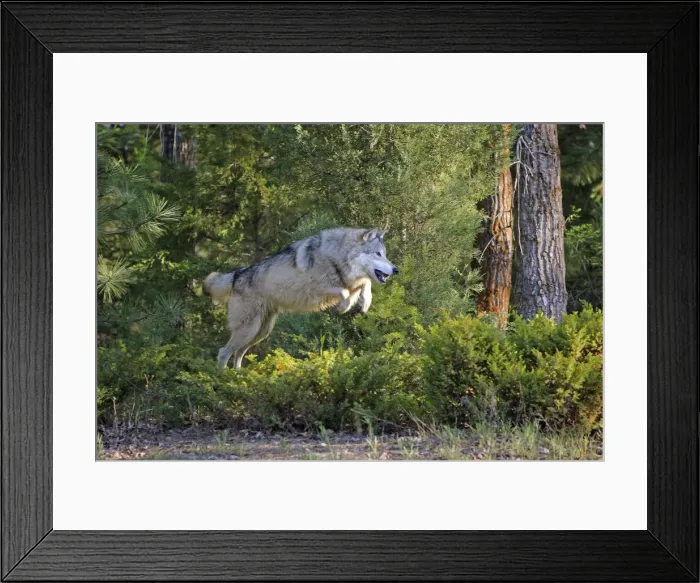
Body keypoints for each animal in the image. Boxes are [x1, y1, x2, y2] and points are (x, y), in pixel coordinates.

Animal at [203, 227, 399, 369]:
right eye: (378, 254)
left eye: (385, 254)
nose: (396, 269)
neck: (336, 256)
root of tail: (238, 274)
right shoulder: (316, 289)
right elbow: (344, 292)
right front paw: (343, 307)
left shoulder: (352, 281)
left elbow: (365, 283)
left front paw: (364, 302)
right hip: (249, 329)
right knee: (224, 352)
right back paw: (222, 378)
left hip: (260, 332)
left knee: (238, 354)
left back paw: (238, 377)